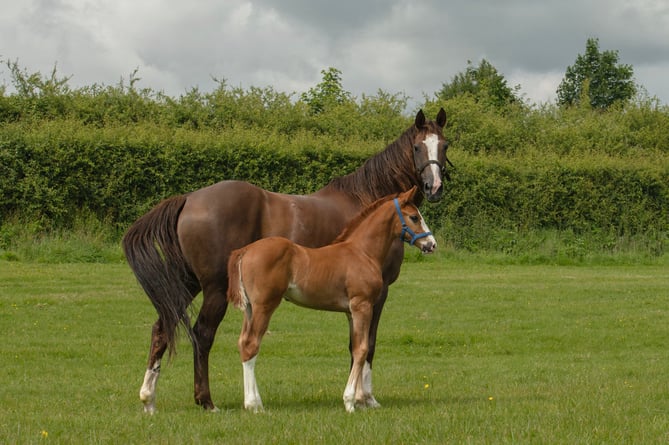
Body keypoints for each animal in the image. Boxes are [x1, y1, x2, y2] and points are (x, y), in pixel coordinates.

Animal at [227, 186, 436, 412]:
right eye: (415, 217)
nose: (431, 244)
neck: (362, 252)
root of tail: (245, 250)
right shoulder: (362, 305)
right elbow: (362, 349)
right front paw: (350, 402)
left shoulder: (351, 312)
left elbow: (355, 348)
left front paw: (360, 401)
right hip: (264, 306)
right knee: (251, 344)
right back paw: (254, 405)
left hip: (250, 308)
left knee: (243, 342)